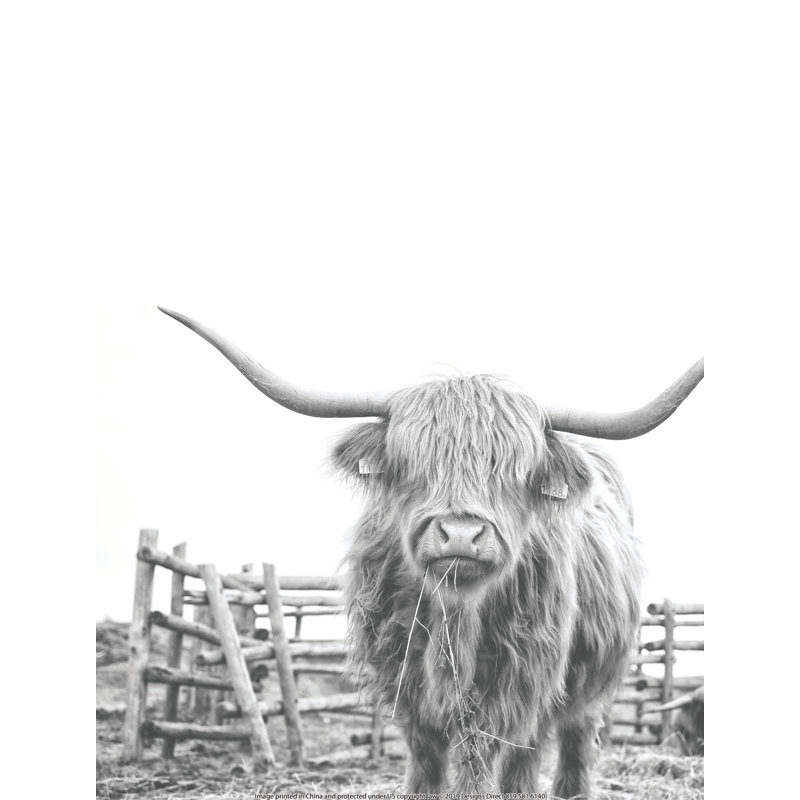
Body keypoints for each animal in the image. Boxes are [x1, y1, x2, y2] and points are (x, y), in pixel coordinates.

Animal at [159, 307, 703, 799]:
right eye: (412, 463)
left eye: (515, 471)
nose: (460, 535)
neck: (453, 618)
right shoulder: (404, 680)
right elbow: (425, 760)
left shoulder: (516, 680)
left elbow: (482, 757)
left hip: (585, 685)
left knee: (563, 745)